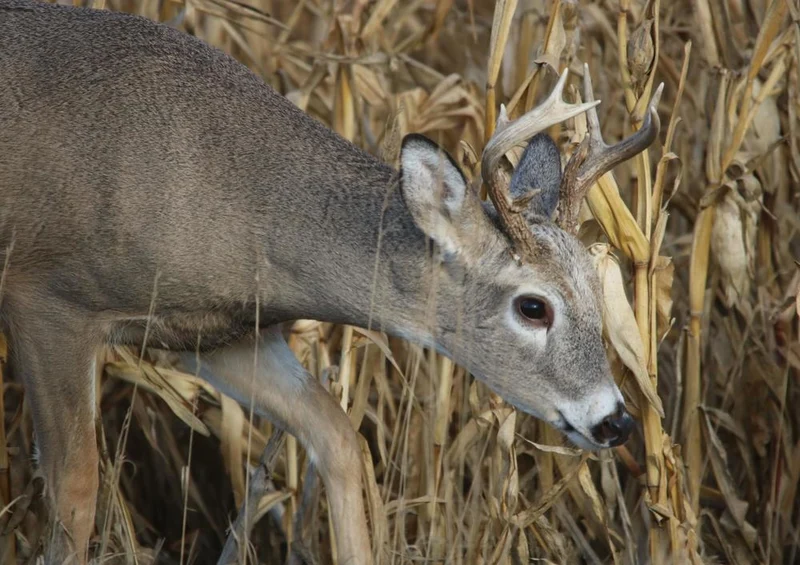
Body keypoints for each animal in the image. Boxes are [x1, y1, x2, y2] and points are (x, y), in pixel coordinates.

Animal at [0, 0, 663, 563]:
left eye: (597, 289)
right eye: (533, 307)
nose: (616, 420)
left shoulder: (218, 333)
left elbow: (340, 439)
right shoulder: (48, 298)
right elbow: (75, 492)